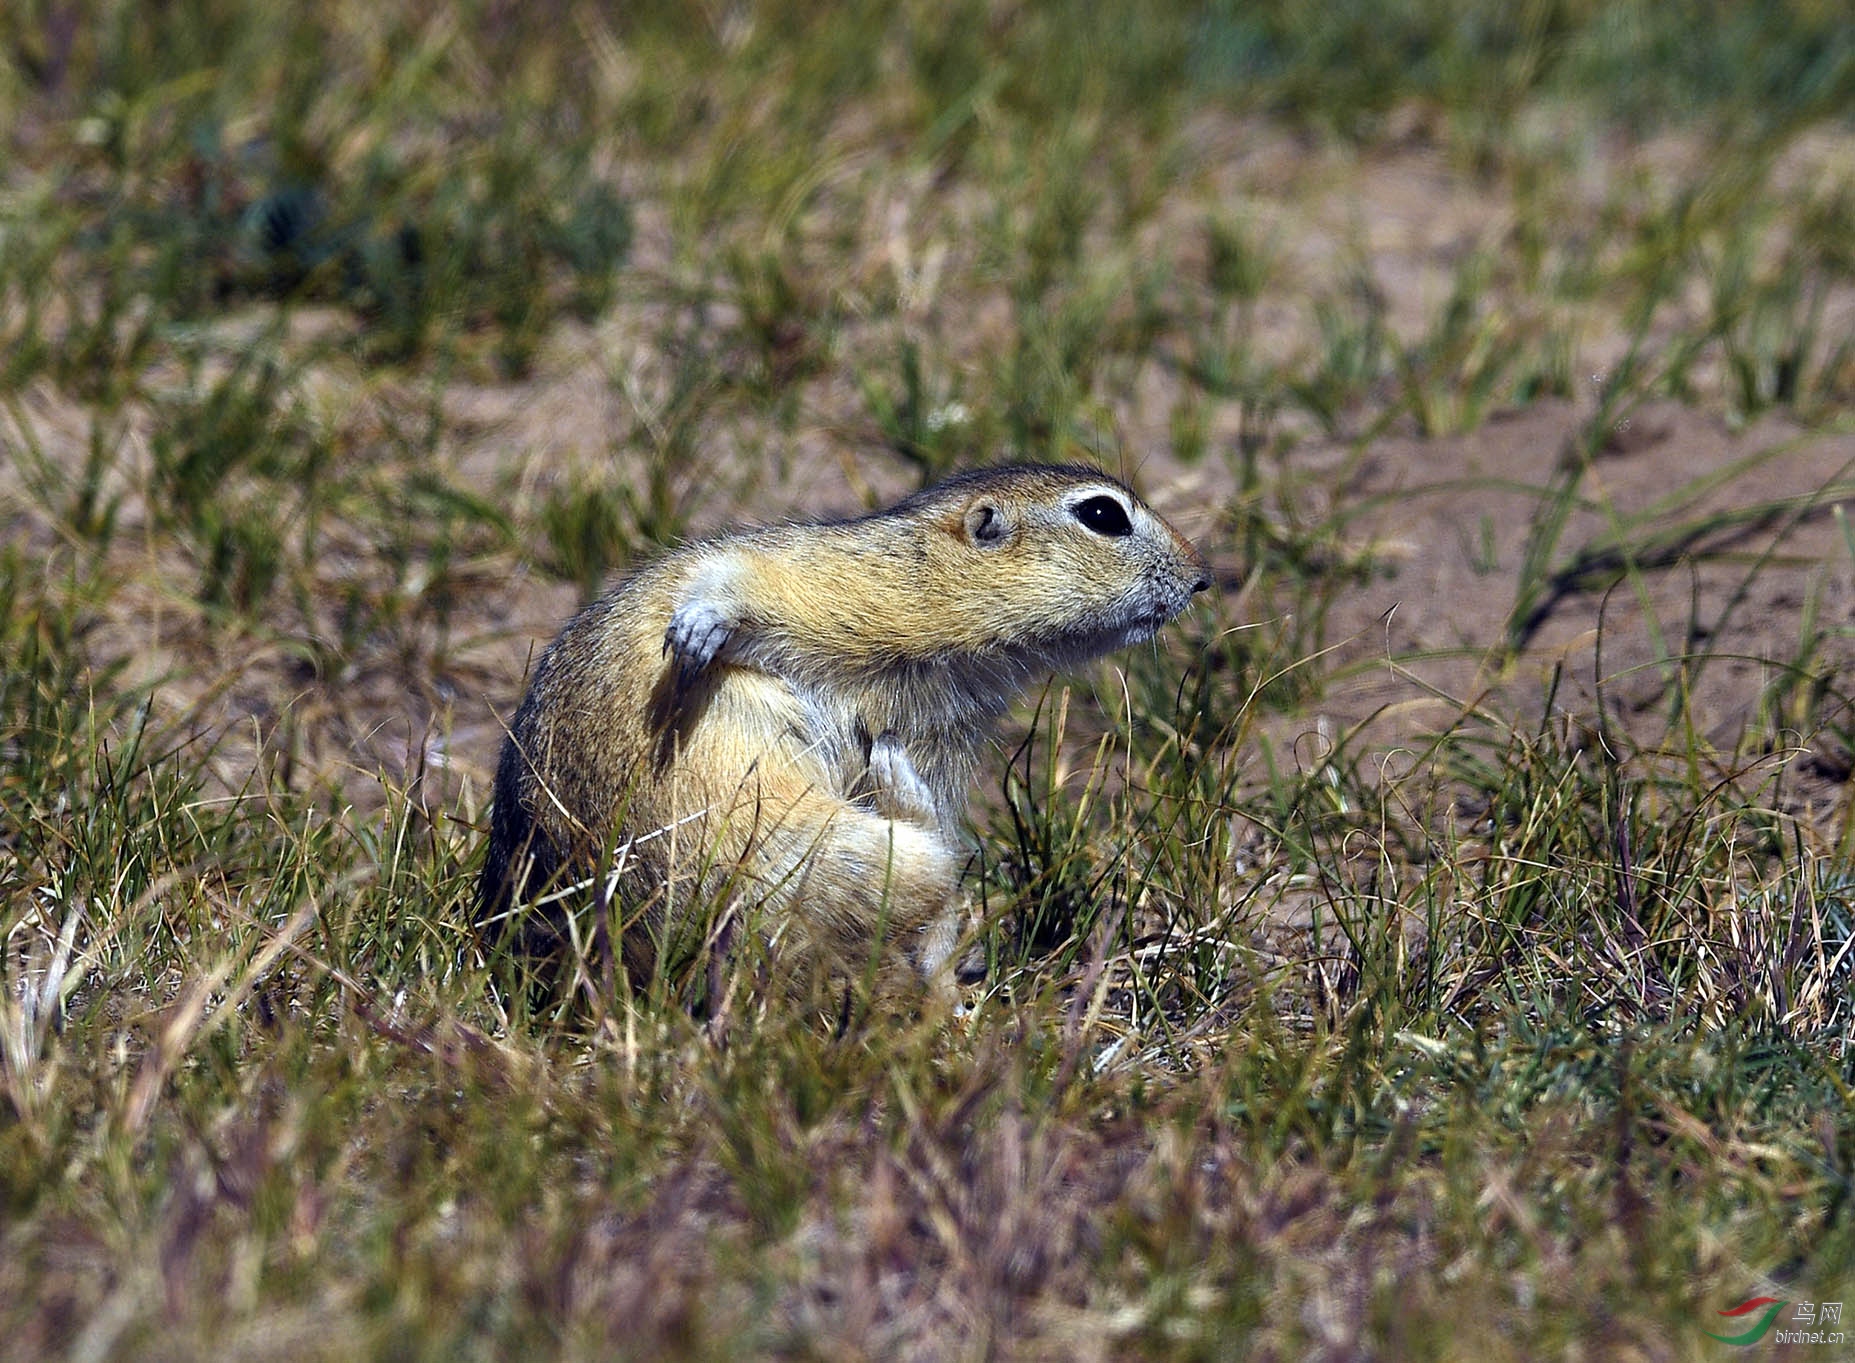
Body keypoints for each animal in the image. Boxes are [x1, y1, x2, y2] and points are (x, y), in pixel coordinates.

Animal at [478, 463, 1209, 993]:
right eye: (1102, 514)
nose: (1203, 578)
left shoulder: (945, 737)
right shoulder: (839, 580)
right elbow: (737, 576)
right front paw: (698, 628)